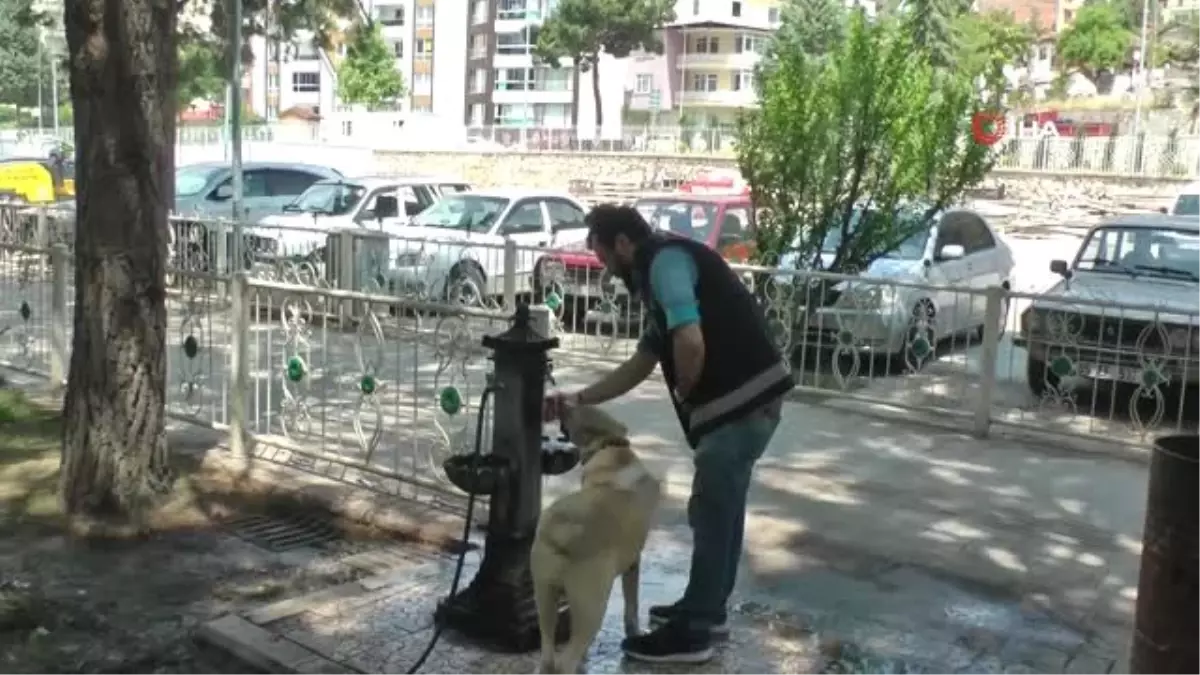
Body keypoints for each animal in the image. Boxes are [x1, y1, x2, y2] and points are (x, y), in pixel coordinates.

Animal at [535, 401, 667, 667]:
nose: (564, 404)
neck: (613, 447)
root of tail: (565, 528)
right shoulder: (633, 562)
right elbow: (631, 603)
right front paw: (634, 632)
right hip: (592, 609)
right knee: (565, 662)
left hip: (545, 598)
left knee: (547, 654)